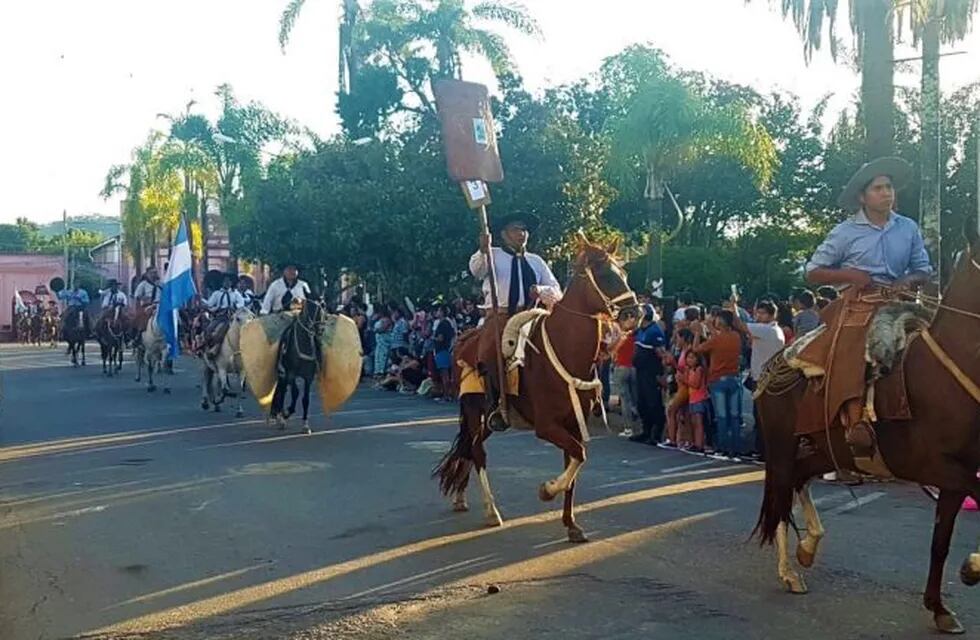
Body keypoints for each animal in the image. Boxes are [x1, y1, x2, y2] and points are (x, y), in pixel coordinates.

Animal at [434, 238, 636, 544]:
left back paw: (460, 498)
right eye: (604, 275)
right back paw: (491, 511)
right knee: (477, 451)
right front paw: (547, 490)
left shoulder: (573, 424)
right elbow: (578, 456)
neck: (565, 351)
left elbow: (575, 463)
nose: (635, 313)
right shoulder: (547, 426)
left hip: (487, 419)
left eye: (623, 274)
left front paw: (571, 524)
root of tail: (465, 339)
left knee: (470, 447)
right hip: (472, 408)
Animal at [756, 221, 980, 636]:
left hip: (823, 449)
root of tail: (772, 366)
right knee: (780, 498)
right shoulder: (936, 467)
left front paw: (939, 607)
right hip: (780, 447)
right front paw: (971, 569)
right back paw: (789, 572)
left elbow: (940, 542)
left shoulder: (957, 476)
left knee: (798, 480)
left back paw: (808, 548)